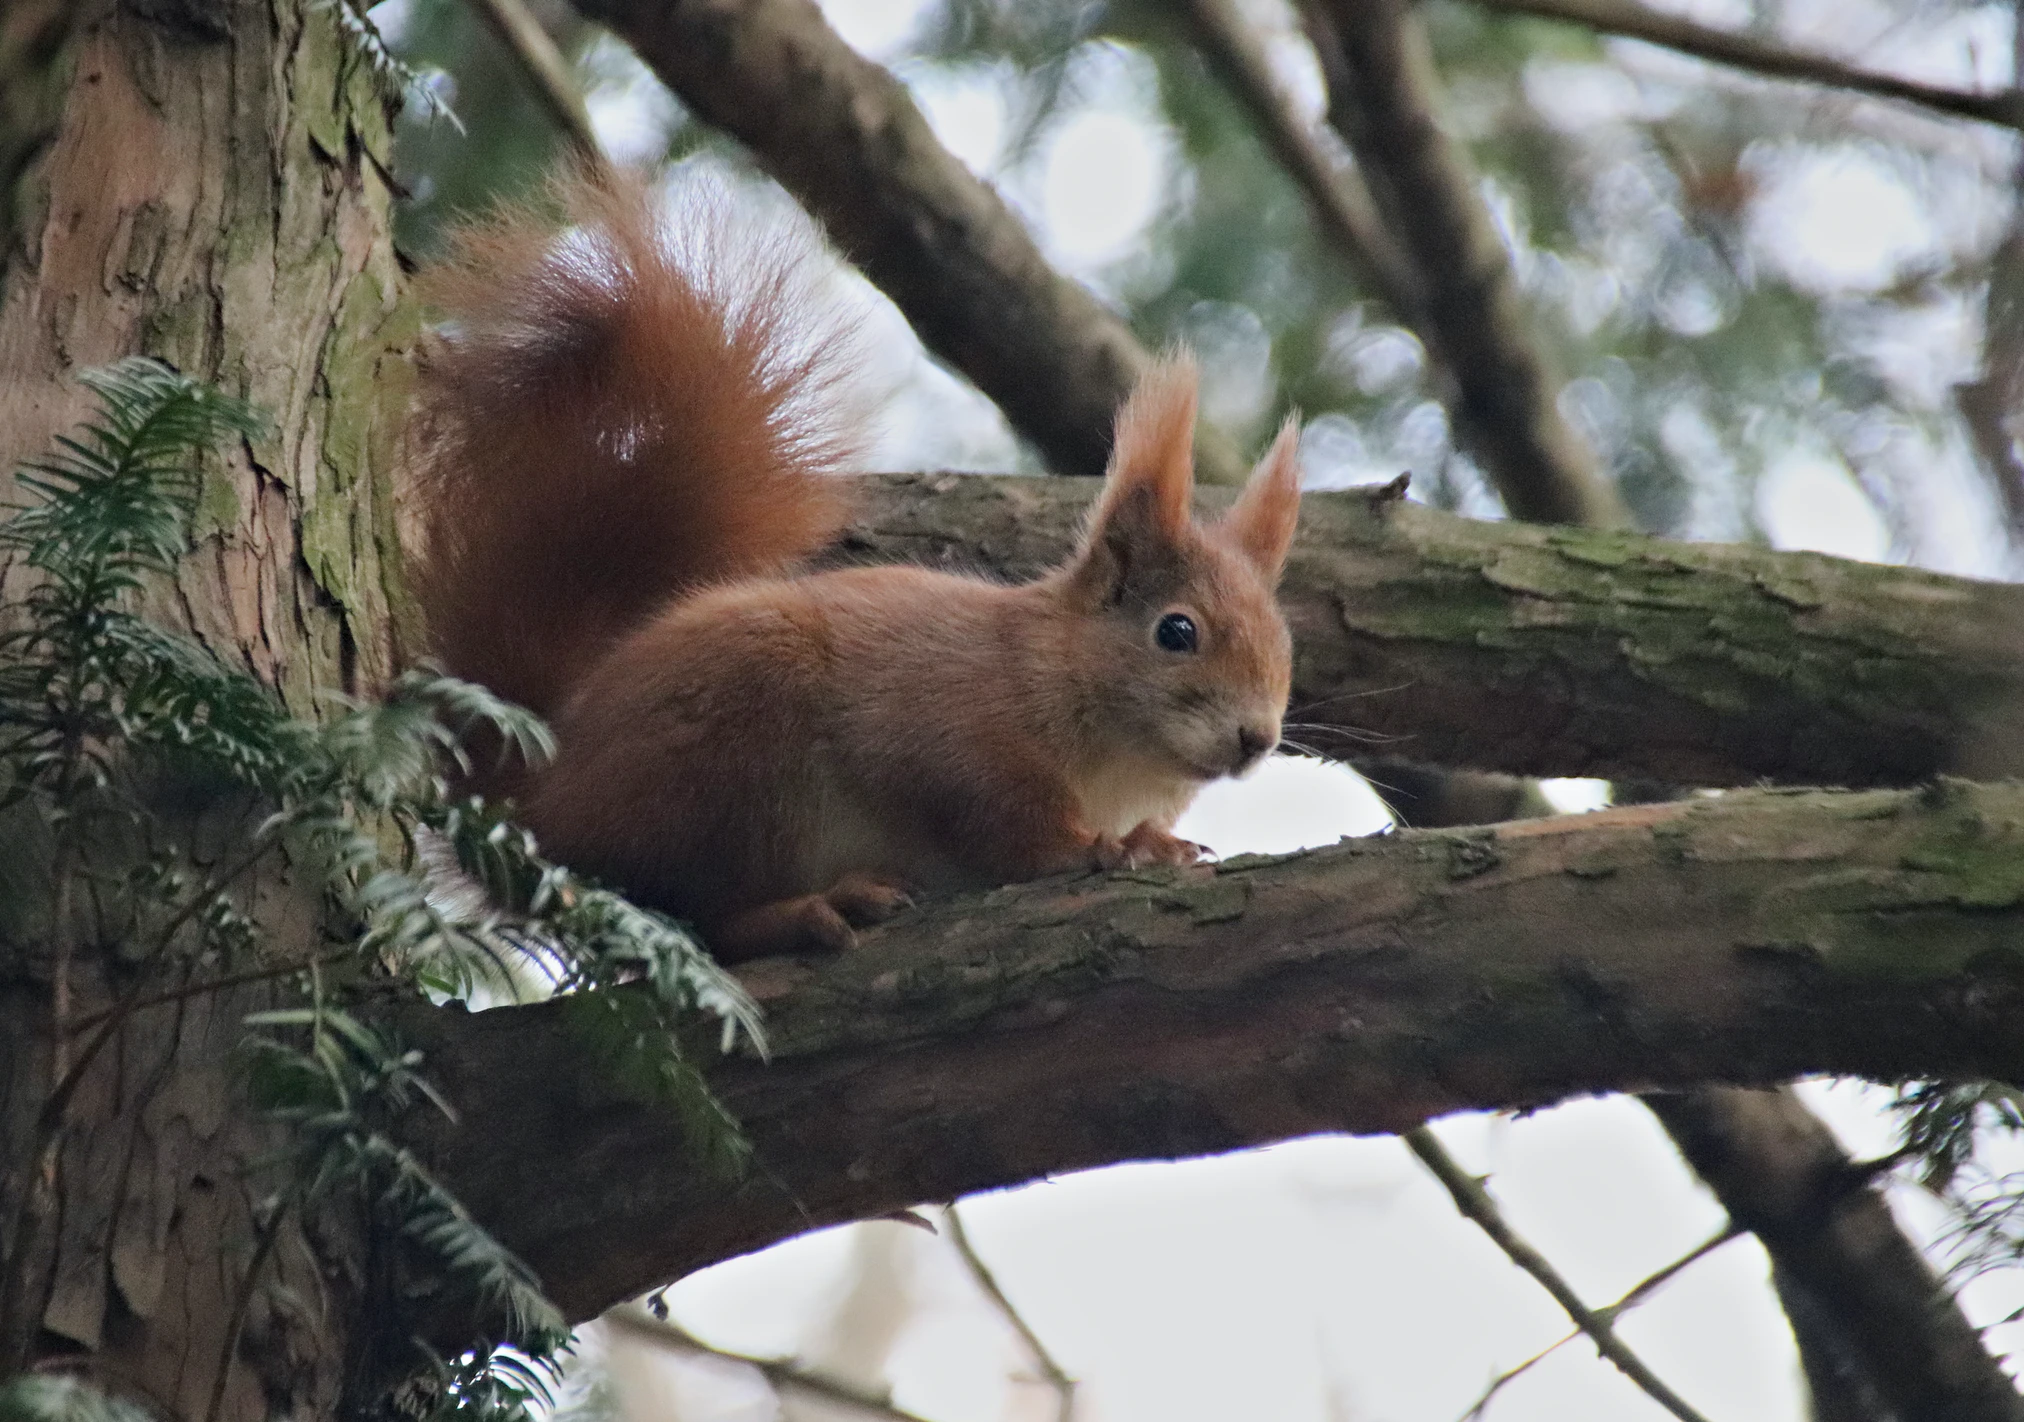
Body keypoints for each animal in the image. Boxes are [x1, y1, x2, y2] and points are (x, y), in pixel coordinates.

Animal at [402, 171, 1303, 962]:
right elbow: (1000, 824)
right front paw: (1103, 848)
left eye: (1286, 646)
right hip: (730, 763)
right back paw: (814, 909)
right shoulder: (952, 728)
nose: (1256, 739)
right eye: (1176, 632)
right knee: (703, 915)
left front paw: (1154, 838)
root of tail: (543, 806)